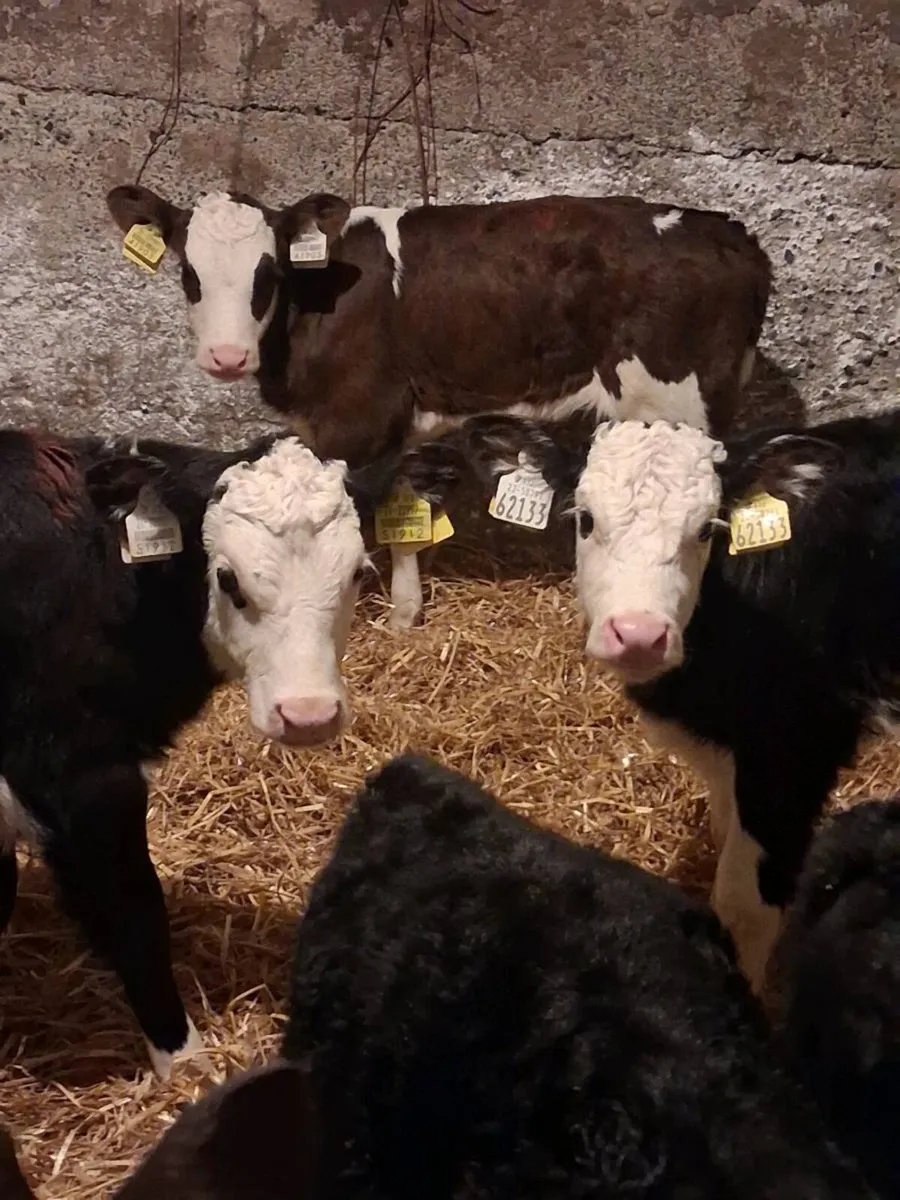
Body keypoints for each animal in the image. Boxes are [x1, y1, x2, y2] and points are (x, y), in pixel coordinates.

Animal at [0, 427, 447, 1078]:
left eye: (359, 573)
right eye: (229, 580)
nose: (308, 714)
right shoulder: (81, 775)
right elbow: (134, 910)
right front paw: (182, 1060)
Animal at [105, 184, 772, 630]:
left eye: (268, 273)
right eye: (189, 274)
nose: (226, 356)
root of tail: (733, 235)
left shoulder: (354, 422)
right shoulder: (397, 426)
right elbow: (403, 514)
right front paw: (405, 614)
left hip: (682, 407)